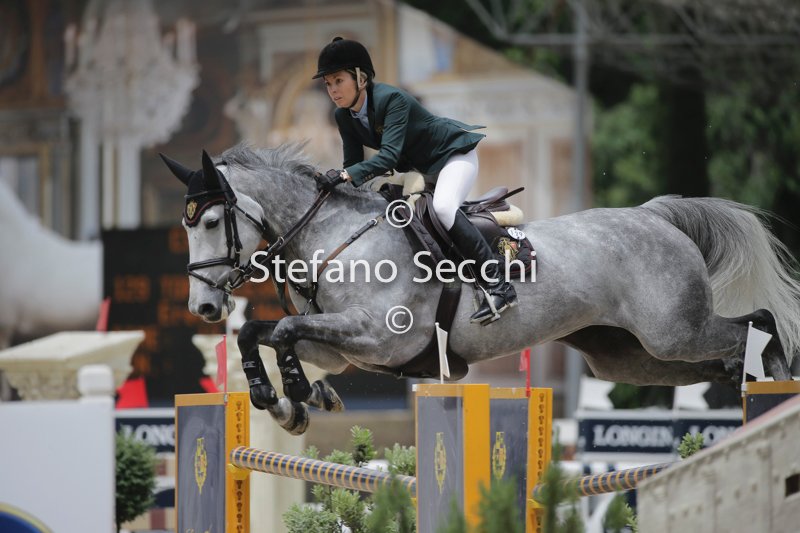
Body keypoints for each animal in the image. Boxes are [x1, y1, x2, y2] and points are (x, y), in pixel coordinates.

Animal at [162, 143, 800, 435]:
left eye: (212, 221)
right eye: (186, 226)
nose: (203, 305)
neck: (337, 237)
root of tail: (655, 215)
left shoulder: (378, 338)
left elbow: (285, 329)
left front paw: (296, 395)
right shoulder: (341, 348)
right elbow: (260, 332)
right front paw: (286, 401)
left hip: (674, 330)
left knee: (759, 323)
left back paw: (775, 380)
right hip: (633, 357)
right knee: (720, 357)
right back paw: (749, 384)